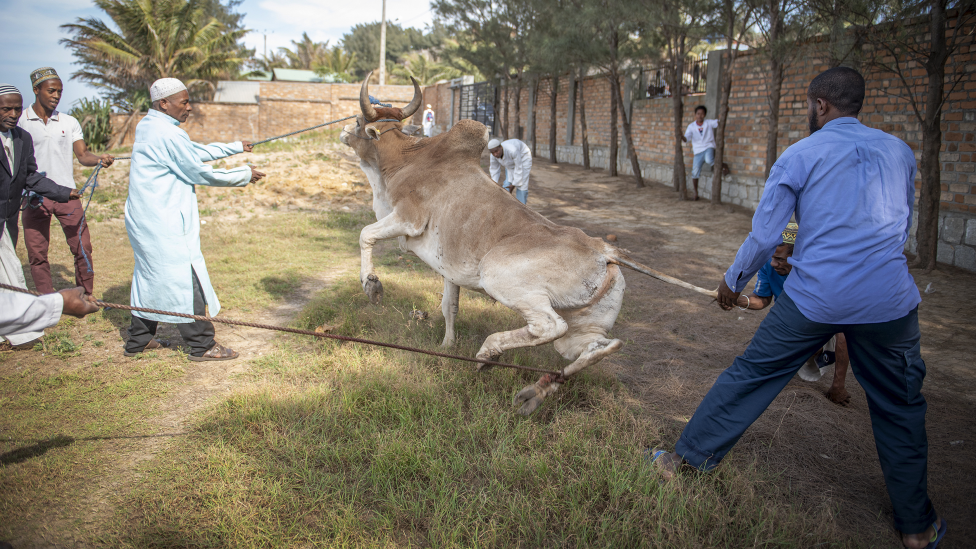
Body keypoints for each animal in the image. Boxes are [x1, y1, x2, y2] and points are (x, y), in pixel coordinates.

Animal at [344, 74, 716, 416]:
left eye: (361, 121)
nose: (344, 131)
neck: (405, 159)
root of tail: (604, 250)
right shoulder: (448, 269)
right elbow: (449, 306)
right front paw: (447, 345)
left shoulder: (408, 219)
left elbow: (365, 234)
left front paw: (372, 286)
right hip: (583, 328)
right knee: (598, 347)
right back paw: (535, 391)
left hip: (499, 278)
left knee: (548, 327)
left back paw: (489, 353)